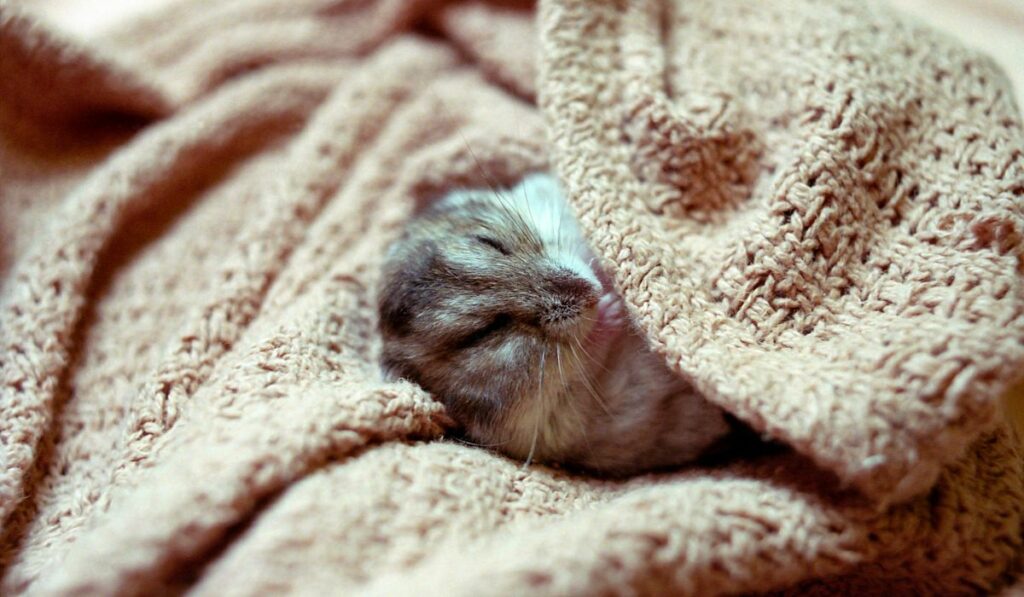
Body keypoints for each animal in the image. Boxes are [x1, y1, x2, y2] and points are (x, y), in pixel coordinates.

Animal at [377, 172, 735, 475]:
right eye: (485, 332)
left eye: (488, 241)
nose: (592, 291)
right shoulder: (547, 426)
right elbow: (583, 367)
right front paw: (612, 309)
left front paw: (609, 279)